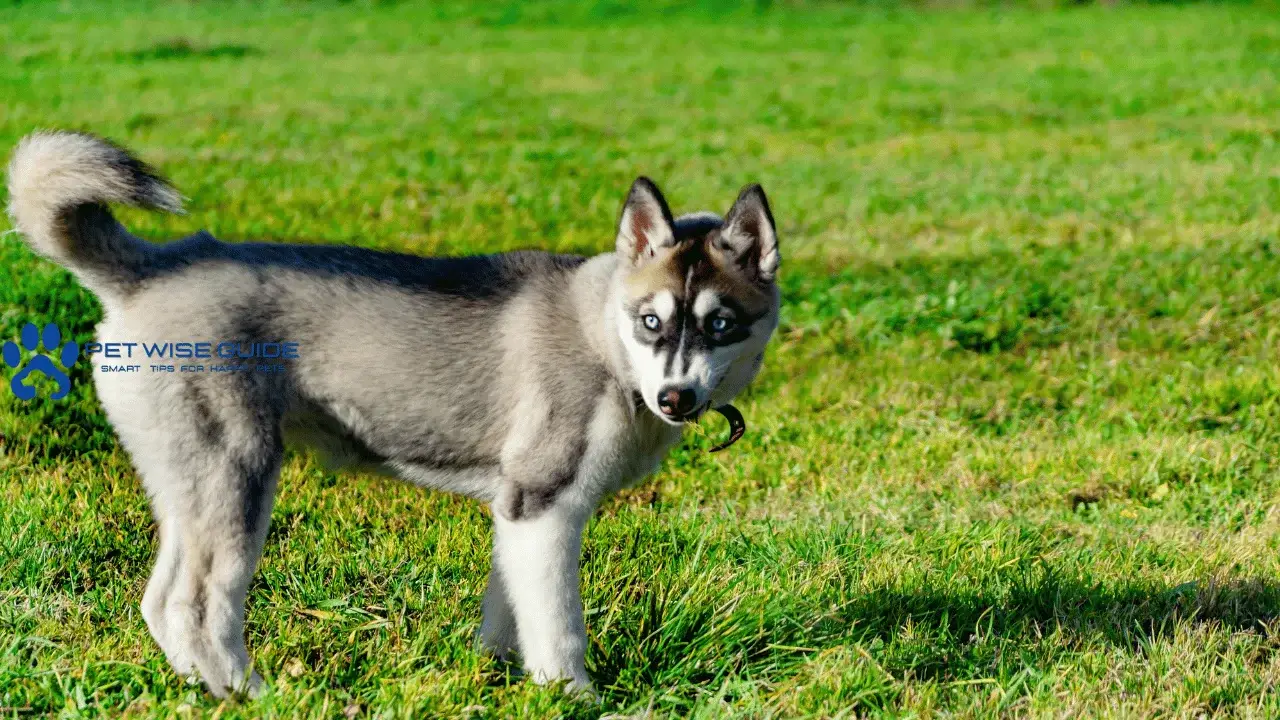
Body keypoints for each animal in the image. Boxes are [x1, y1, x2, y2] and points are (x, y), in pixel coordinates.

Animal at [7, 130, 778, 696]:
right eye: (652, 322)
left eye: (720, 325)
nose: (675, 398)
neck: (602, 337)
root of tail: (153, 268)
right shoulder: (544, 502)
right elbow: (559, 628)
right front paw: (573, 699)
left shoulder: (515, 514)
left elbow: (510, 613)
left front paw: (493, 683)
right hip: (238, 475)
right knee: (195, 605)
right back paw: (254, 697)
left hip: (188, 481)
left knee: (160, 601)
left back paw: (202, 692)